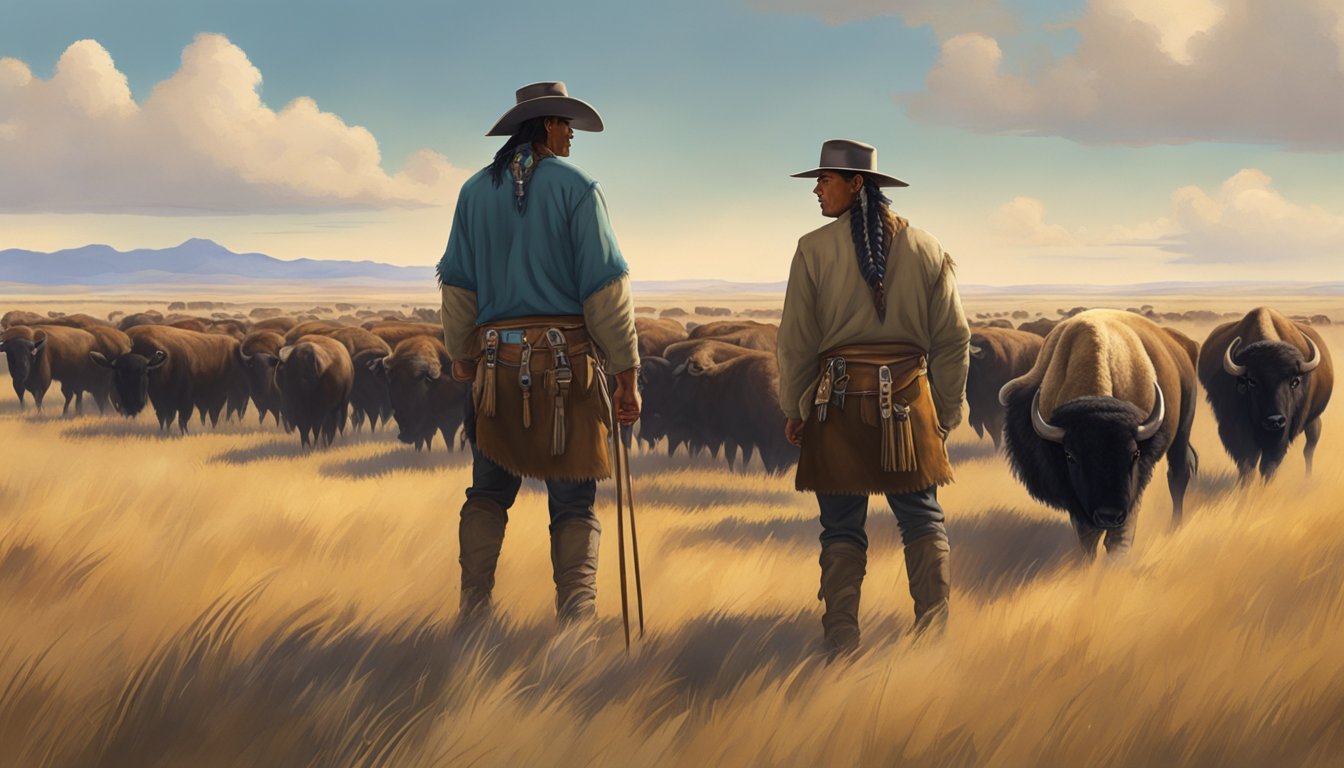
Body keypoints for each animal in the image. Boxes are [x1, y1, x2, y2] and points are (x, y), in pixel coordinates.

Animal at [90, 324, 243, 433]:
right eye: (118, 373)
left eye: (144, 372)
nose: (132, 405)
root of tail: (234, 343)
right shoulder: (160, 400)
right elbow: (164, 418)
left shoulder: (185, 401)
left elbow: (181, 420)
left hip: (231, 395)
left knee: (226, 411)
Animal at [999, 309, 1198, 556]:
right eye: (1070, 456)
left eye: (1134, 454)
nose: (1108, 516)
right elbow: (1087, 534)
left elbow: (1119, 536)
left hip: (1183, 426)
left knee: (1178, 474)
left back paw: (1175, 526)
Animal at [1204, 306, 1327, 481]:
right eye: (1252, 381)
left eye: (1294, 382)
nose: (1274, 421)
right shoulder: (1234, 427)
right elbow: (1247, 461)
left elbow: (1268, 463)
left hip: (1313, 419)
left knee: (1309, 448)